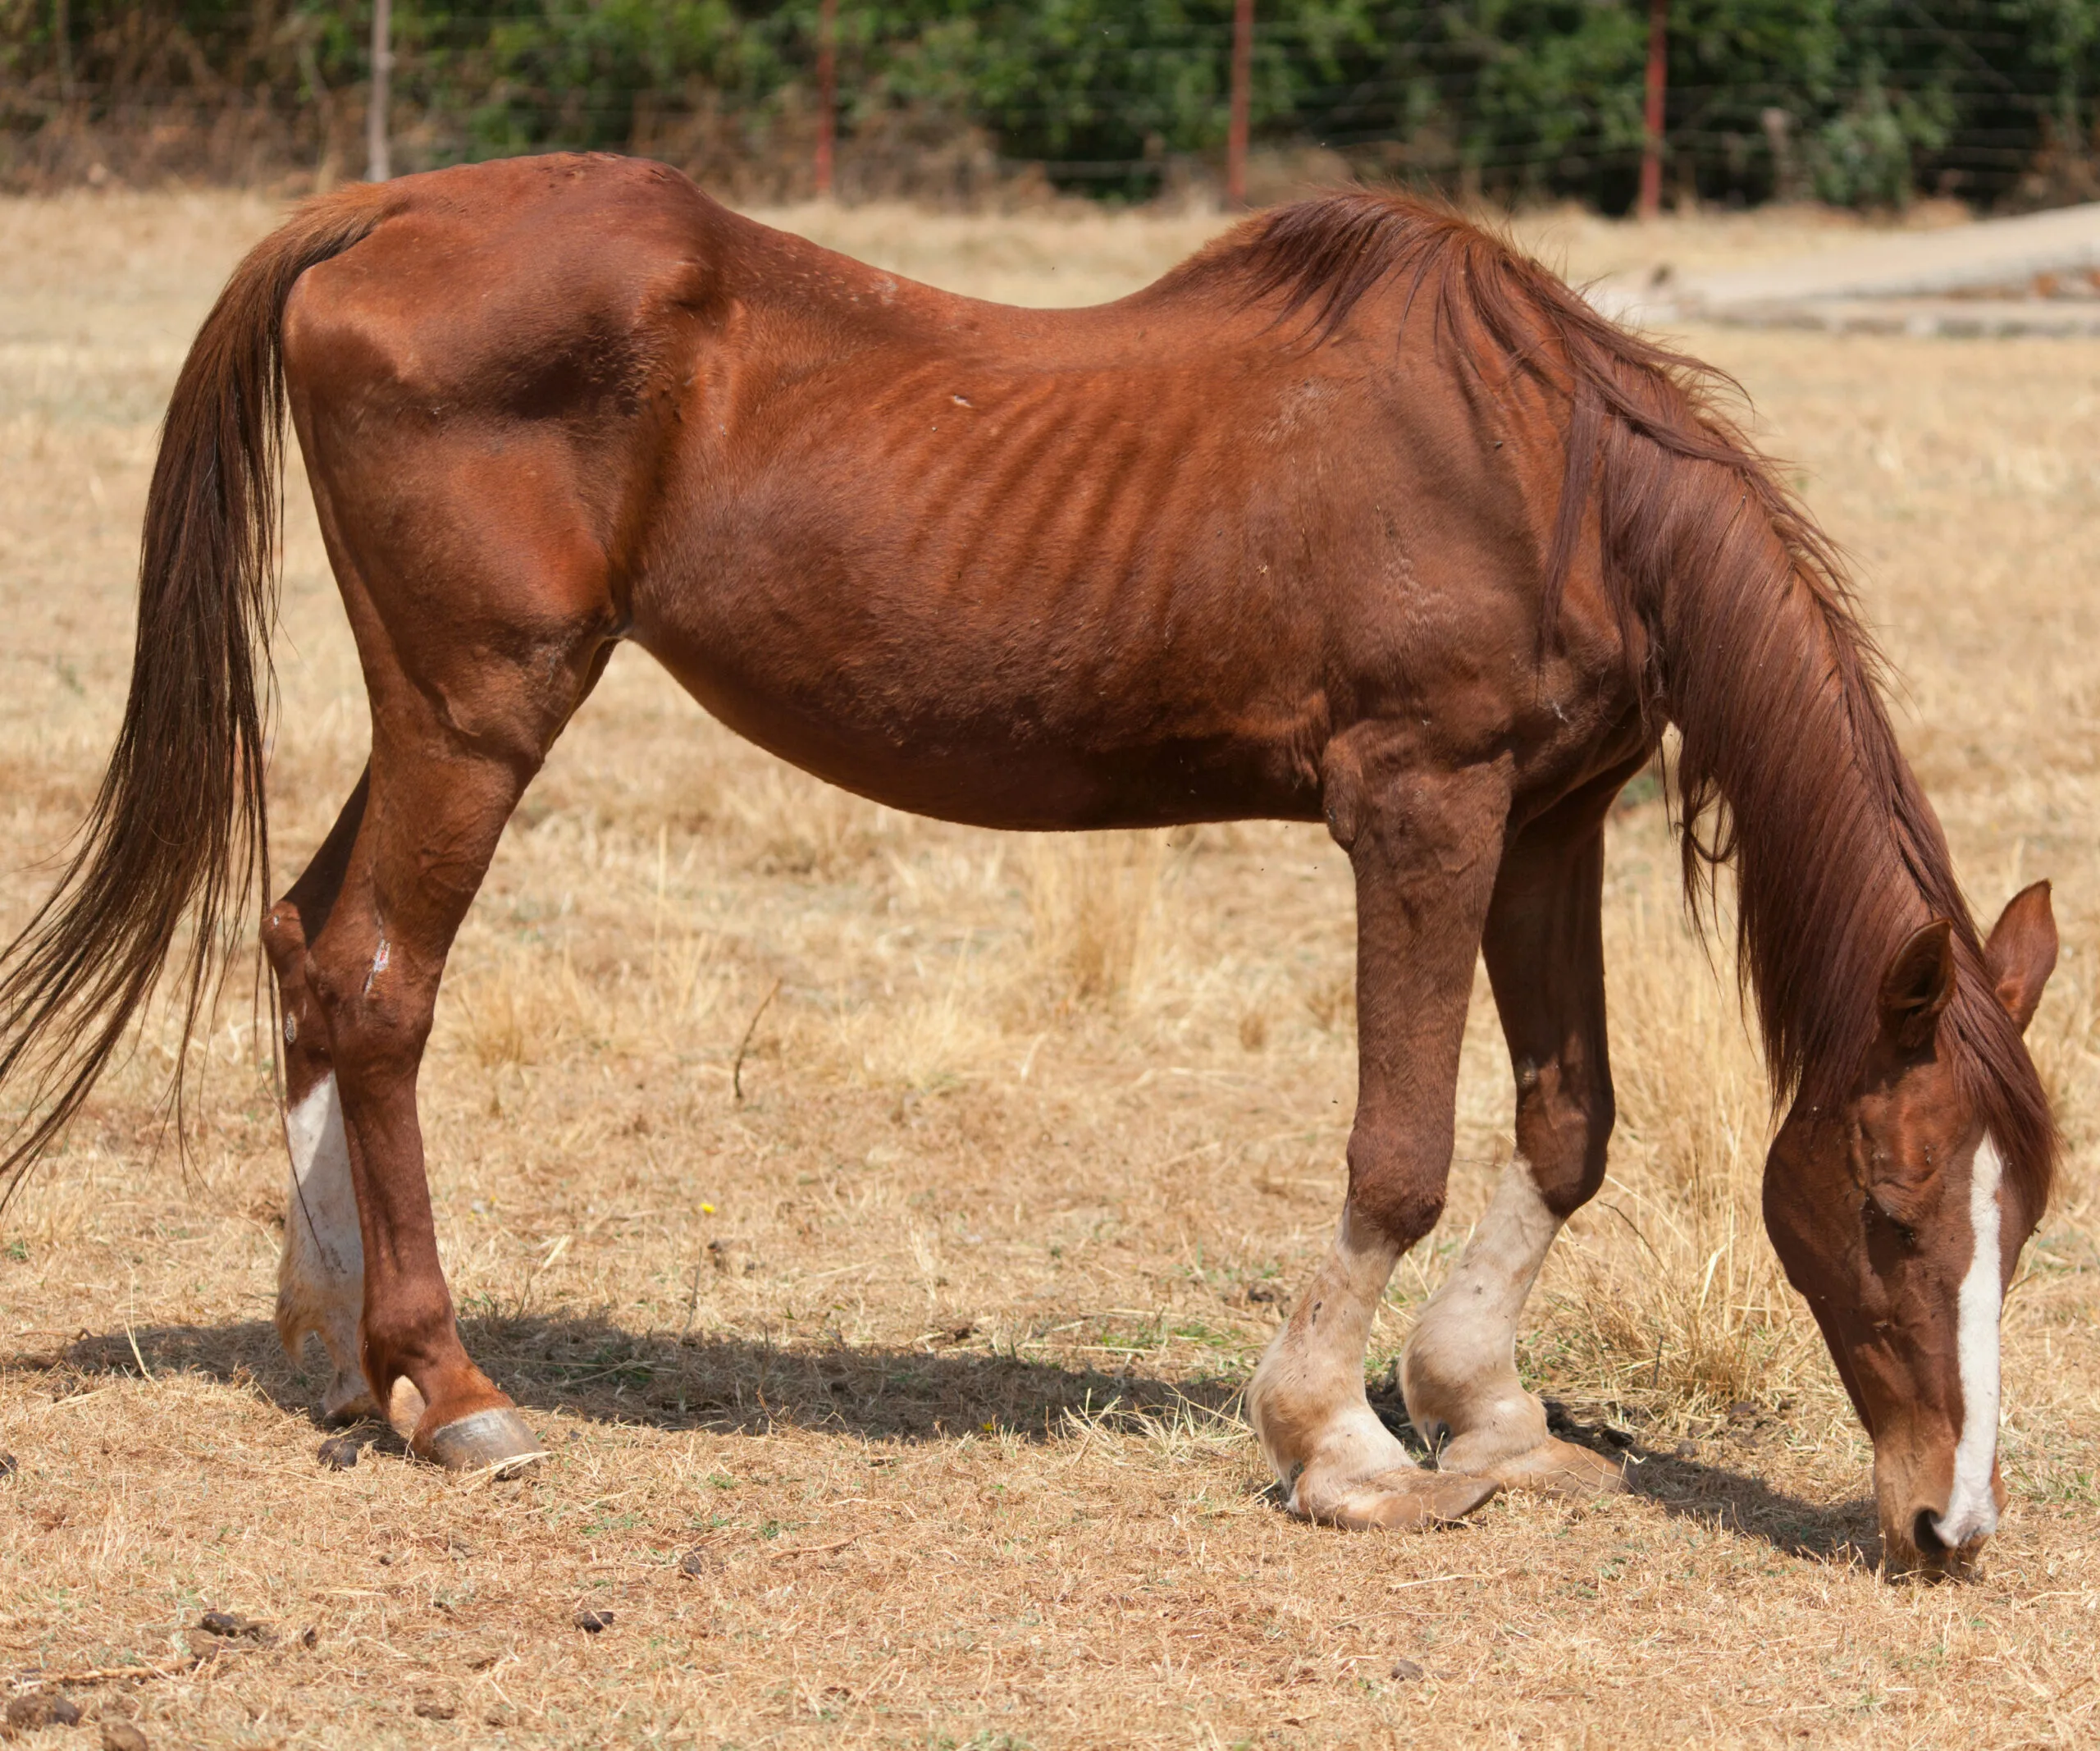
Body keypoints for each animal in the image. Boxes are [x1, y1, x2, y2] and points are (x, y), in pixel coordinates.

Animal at [0, 157, 2056, 1579]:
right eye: (1885, 1205)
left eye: (2020, 1216)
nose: (1945, 1526)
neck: (1540, 470)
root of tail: (379, 208)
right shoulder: (1419, 808)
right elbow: (1396, 1145)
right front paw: (1336, 1439)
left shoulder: (1545, 819)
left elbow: (1566, 1123)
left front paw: (1482, 1405)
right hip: (482, 708)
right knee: (380, 984)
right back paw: (456, 1388)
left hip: (436, 710)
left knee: (302, 939)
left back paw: (338, 1346)